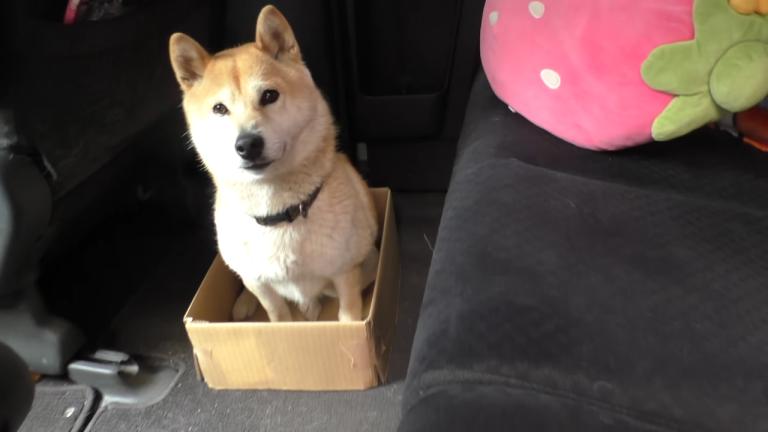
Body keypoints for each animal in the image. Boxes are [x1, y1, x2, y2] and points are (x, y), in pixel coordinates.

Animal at [171, 3, 380, 320]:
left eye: (269, 95)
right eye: (219, 109)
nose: (247, 144)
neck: (279, 215)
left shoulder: (345, 276)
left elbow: (349, 317)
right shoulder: (262, 287)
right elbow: (277, 315)